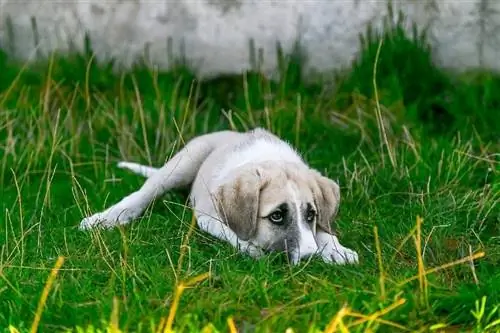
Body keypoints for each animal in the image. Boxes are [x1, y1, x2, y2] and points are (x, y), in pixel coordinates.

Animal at [78, 127, 358, 264]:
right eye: (277, 216)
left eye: (311, 215)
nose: (311, 259)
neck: (269, 159)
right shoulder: (207, 216)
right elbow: (235, 234)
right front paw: (252, 249)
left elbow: (323, 229)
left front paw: (336, 249)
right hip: (185, 161)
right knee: (142, 194)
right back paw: (105, 218)